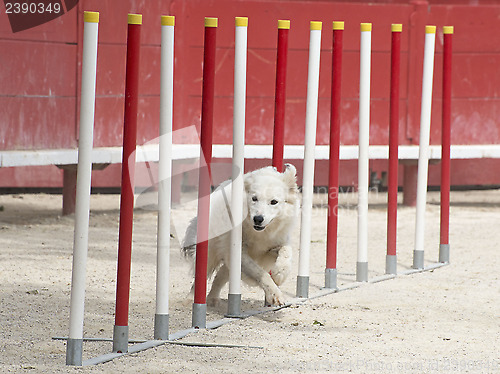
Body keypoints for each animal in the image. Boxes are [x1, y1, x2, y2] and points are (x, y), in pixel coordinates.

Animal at [184, 164, 300, 306]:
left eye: (274, 202)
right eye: (254, 198)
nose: (258, 219)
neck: (259, 233)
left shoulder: (275, 244)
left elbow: (286, 251)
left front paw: (280, 273)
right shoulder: (240, 254)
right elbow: (261, 273)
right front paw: (275, 294)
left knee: (219, 276)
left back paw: (213, 298)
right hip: (211, 253)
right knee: (201, 275)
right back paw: (191, 299)